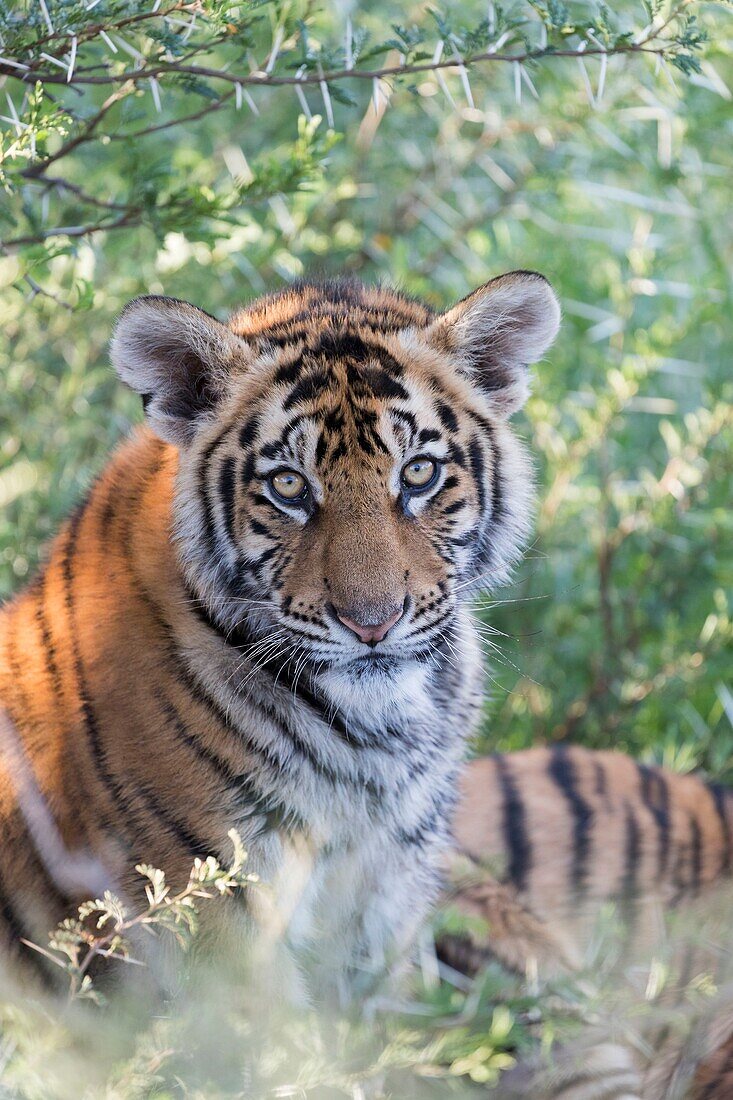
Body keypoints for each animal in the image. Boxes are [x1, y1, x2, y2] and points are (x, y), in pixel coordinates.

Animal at [0, 270, 559, 1003]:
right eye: (289, 486)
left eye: (418, 473)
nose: (372, 621)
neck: (374, 740)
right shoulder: (219, 899)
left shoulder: (389, 891)